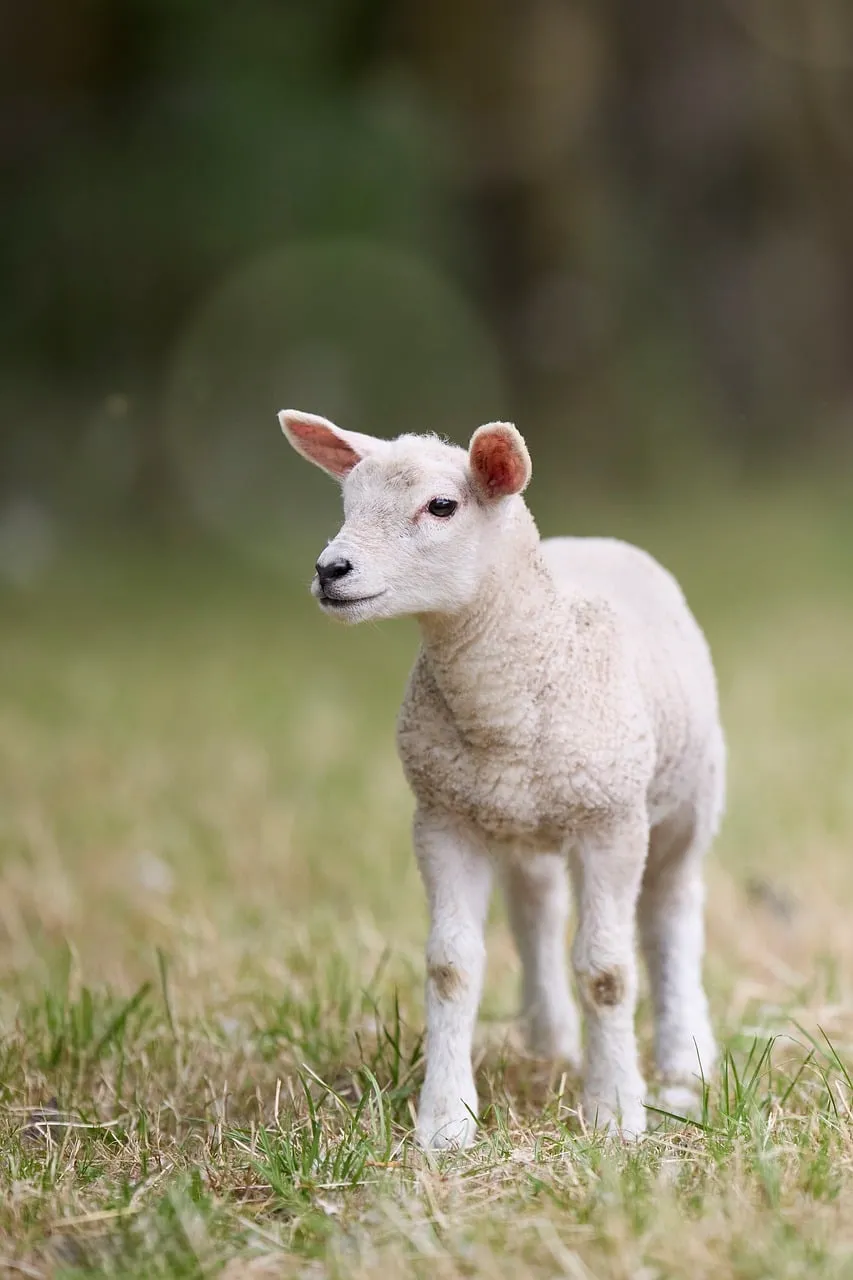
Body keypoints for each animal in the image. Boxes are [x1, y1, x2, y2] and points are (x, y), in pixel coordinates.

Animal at [280, 409, 725, 1150]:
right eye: (348, 500)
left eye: (441, 506)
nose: (330, 569)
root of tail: (595, 540)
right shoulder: (442, 817)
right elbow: (452, 967)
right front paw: (445, 1120)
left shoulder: (611, 820)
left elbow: (607, 971)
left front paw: (615, 1114)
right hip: (521, 816)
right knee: (537, 909)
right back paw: (552, 1043)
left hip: (686, 797)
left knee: (672, 910)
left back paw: (681, 1059)